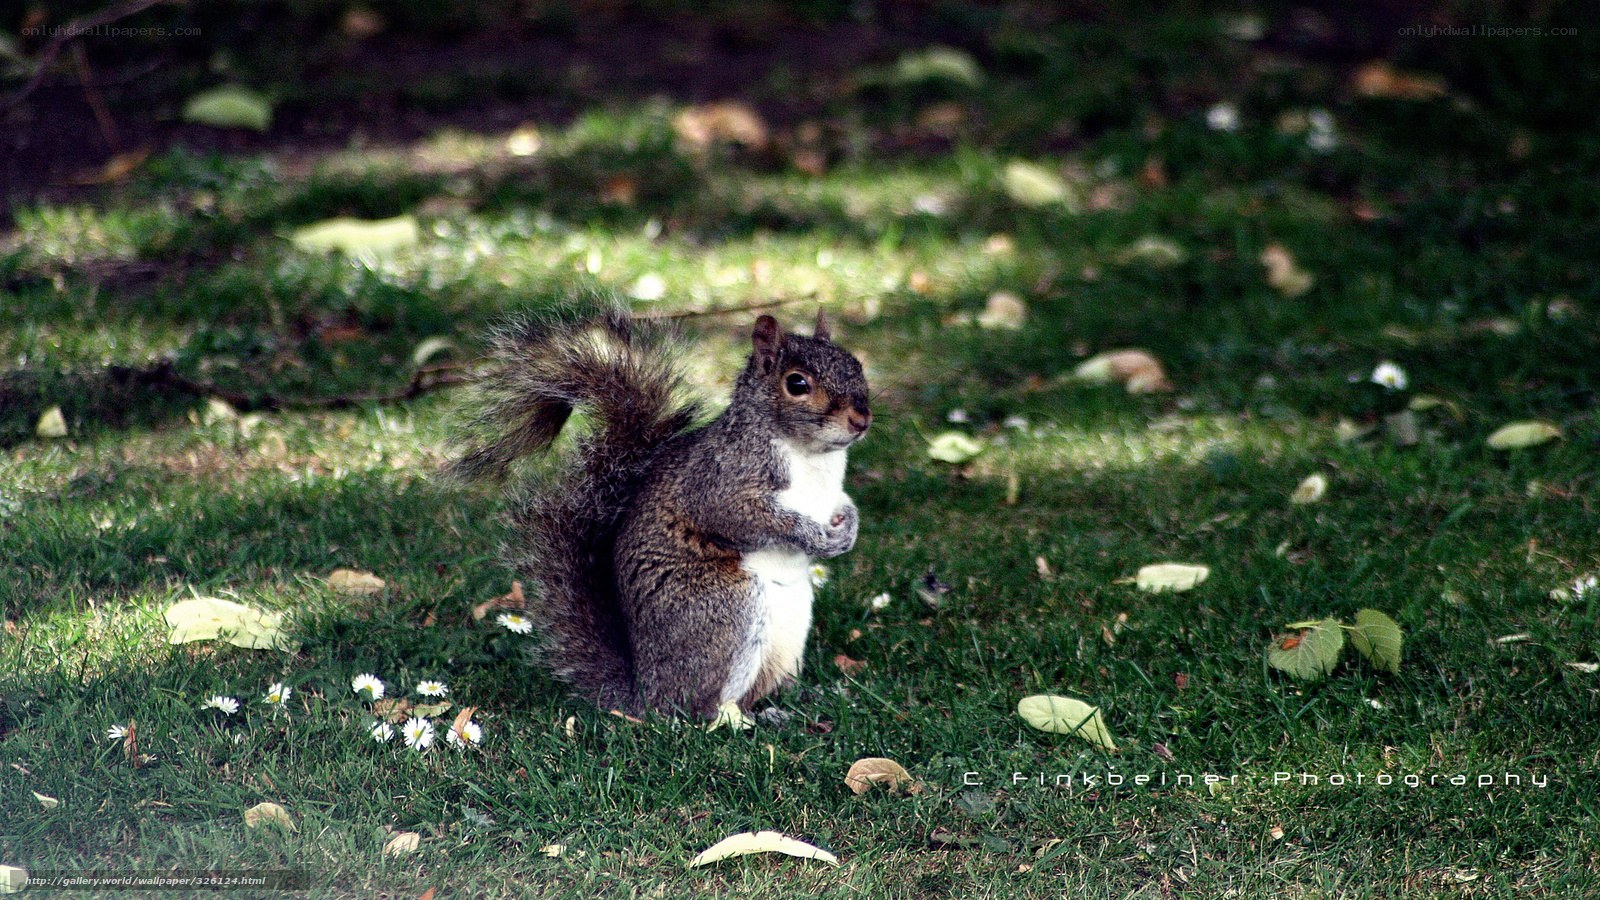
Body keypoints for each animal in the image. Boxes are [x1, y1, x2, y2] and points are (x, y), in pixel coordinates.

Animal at [452, 305, 872, 720]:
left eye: (857, 364)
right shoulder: (719, 482)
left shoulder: (831, 492)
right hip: (726, 608)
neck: (812, 456)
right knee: (698, 708)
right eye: (797, 384)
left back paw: (785, 706)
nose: (861, 420)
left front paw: (848, 529)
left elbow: (844, 505)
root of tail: (645, 694)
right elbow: (741, 517)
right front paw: (812, 535)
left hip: (788, 631)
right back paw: (735, 720)